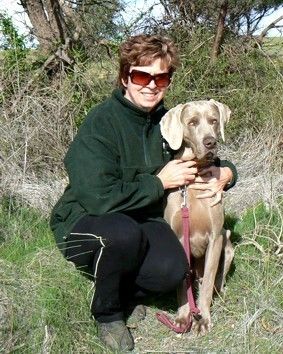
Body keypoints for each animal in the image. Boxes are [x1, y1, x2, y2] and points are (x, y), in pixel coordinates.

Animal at [161, 99, 236, 334]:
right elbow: (181, 283)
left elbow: (209, 282)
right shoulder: (177, 238)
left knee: (214, 281)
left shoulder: (215, 236)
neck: (193, 181)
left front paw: (202, 319)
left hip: (227, 244)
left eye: (214, 121)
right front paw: (183, 316)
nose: (210, 142)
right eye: (192, 122)